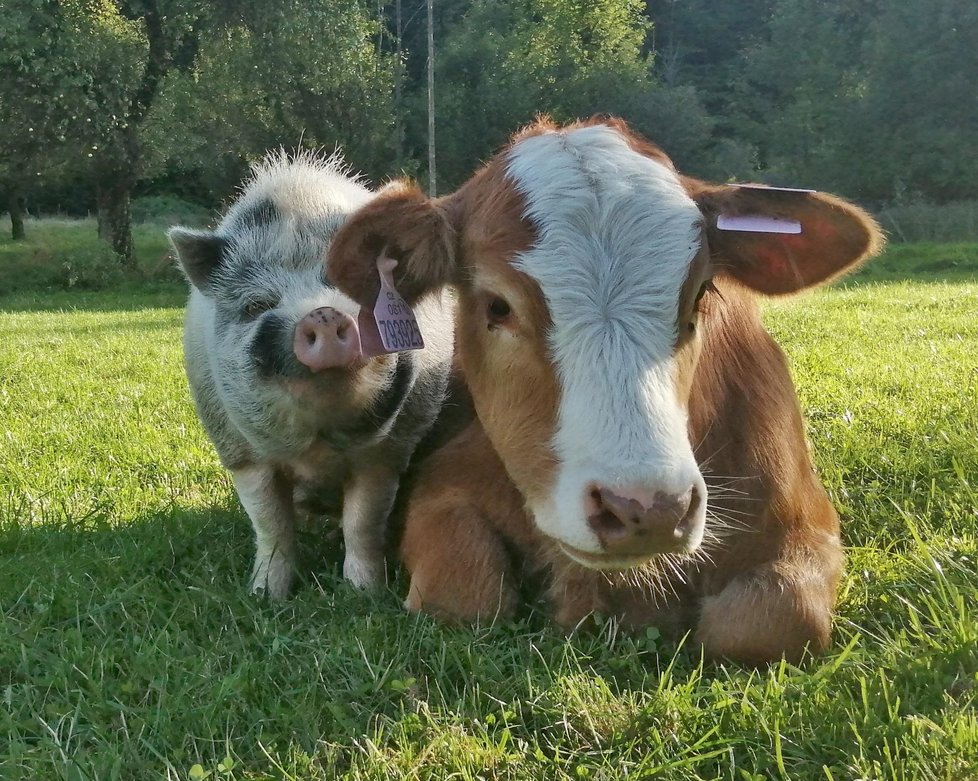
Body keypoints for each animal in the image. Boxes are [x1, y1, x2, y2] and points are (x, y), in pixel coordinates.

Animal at [168, 151, 454, 596]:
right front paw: (266, 596)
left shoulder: (387, 453)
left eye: (355, 289)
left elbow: (363, 523)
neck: (318, 447)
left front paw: (364, 594)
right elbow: (270, 525)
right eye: (256, 306)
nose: (322, 312)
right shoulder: (240, 453)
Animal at [328, 117, 884, 664]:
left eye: (699, 294)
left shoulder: (806, 522)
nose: (649, 508)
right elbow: (463, 593)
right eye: (497, 306)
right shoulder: (441, 487)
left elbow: (772, 620)